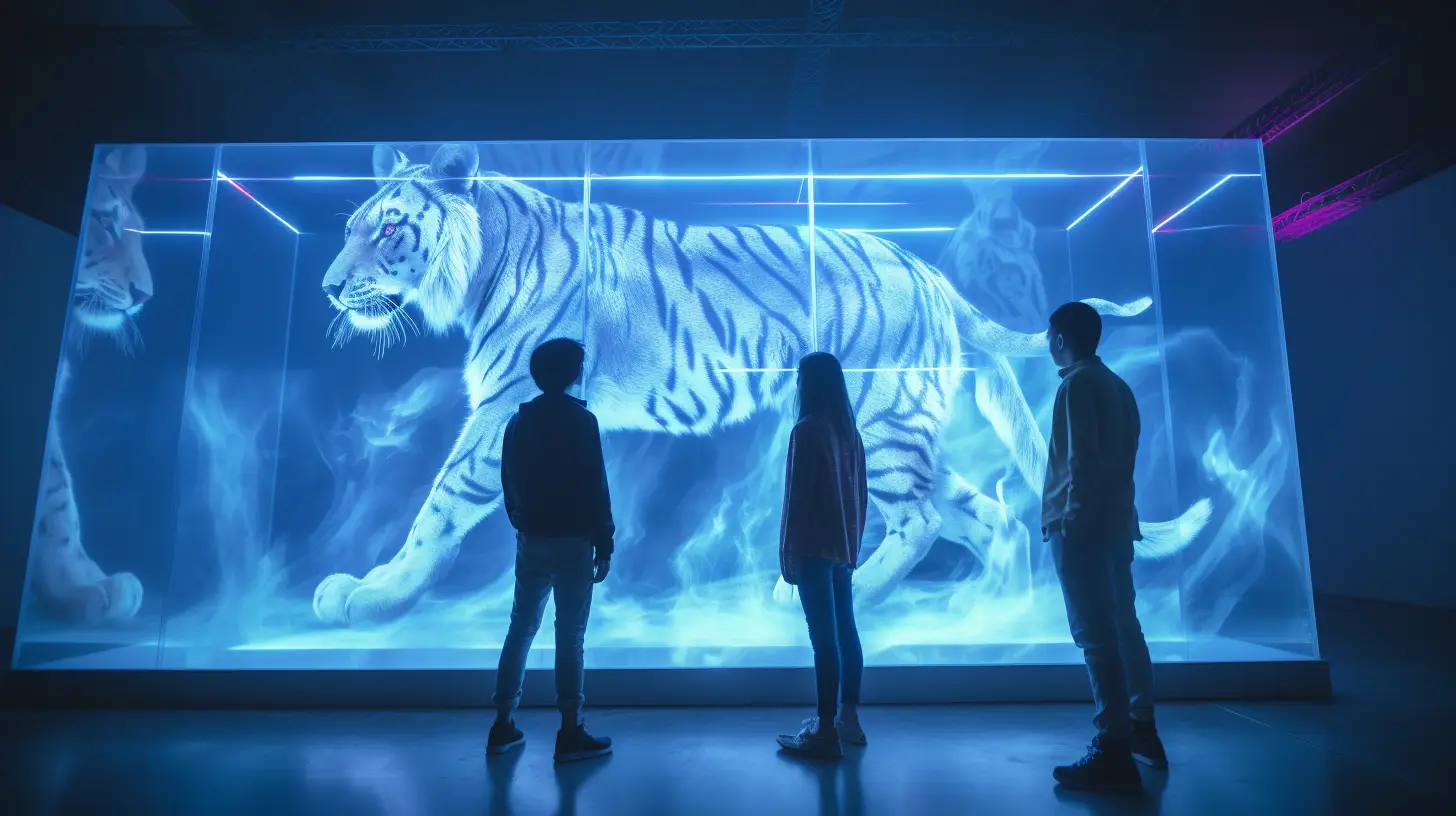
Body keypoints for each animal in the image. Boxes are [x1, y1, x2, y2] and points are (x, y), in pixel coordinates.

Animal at [29, 146, 149, 620]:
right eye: (104, 221)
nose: (145, 295)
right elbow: (57, 495)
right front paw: (78, 588)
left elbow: (59, 494)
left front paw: (79, 582)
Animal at [313, 143, 1211, 623]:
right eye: (349, 226)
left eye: (387, 229)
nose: (326, 287)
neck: (482, 261)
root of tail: (932, 274)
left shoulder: (508, 406)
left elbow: (438, 505)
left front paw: (374, 593)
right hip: (907, 427)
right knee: (990, 518)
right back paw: (992, 618)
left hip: (885, 422)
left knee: (921, 521)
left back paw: (828, 599)